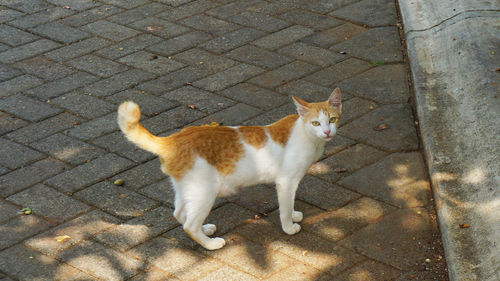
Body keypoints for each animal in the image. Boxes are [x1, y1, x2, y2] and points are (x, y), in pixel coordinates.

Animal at [119, 88, 342, 249]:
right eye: (316, 123)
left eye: (332, 119)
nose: (327, 132)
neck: (306, 135)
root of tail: (173, 139)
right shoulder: (286, 182)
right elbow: (285, 208)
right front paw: (289, 226)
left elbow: (290, 205)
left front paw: (294, 214)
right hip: (205, 191)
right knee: (189, 225)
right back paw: (211, 244)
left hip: (188, 188)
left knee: (180, 214)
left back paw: (205, 229)